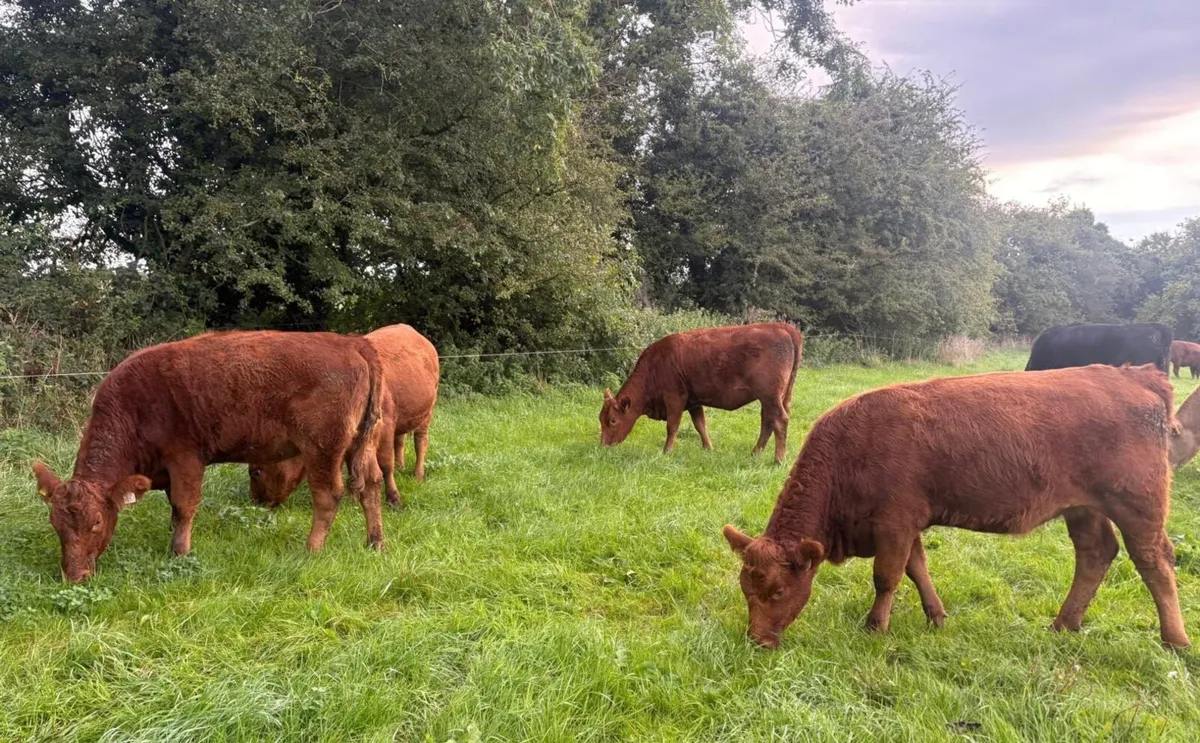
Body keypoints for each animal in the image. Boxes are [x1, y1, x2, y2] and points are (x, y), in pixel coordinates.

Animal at [32, 331, 385, 582]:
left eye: (96, 522)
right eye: (55, 524)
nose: (75, 576)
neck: (133, 409)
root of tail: (351, 343)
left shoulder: (185, 458)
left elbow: (184, 506)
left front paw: (180, 553)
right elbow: (175, 511)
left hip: (322, 448)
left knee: (328, 495)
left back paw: (311, 549)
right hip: (362, 444)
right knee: (371, 485)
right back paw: (375, 541)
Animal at [248, 324, 439, 508]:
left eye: (256, 471)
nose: (256, 502)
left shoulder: (385, 425)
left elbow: (385, 464)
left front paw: (393, 498)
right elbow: (350, 463)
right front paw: (353, 497)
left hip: (427, 411)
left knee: (420, 441)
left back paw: (418, 474)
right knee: (400, 440)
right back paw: (401, 467)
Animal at [600, 323, 803, 464]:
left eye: (613, 420)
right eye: (600, 419)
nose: (603, 445)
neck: (656, 365)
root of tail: (783, 327)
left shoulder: (675, 398)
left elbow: (672, 426)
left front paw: (667, 452)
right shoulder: (694, 401)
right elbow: (700, 425)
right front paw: (708, 448)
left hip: (770, 397)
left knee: (779, 420)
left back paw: (778, 460)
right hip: (777, 398)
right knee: (768, 421)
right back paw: (755, 453)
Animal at [722, 364, 1188, 649]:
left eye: (778, 591)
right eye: (746, 588)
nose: (757, 640)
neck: (852, 450)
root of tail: (1135, 375)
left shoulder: (894, 522)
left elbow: (887, 577)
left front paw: (875, 627)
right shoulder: (905, 525)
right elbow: (917, 569)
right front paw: (937, 617)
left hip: (1138, 504)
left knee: (1155, 561)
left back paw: (1175, 640)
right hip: (1084, 508)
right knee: (1095, 554)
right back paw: (1063, 624)